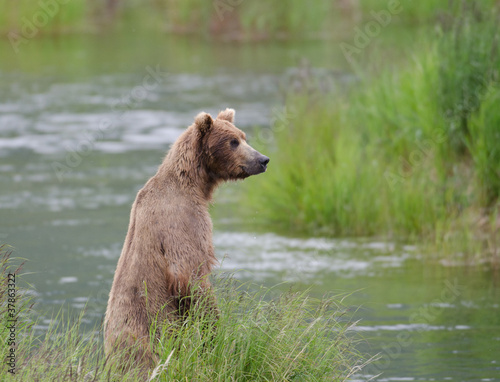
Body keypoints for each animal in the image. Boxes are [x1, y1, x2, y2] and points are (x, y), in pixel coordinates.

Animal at [101, 107, 270, 374]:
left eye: (243, 137)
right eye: (233, 142)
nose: (263, 160)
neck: (195, 184)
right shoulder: (182, 221)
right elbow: (188, 274)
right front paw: (215, 331)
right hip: (145, 335)